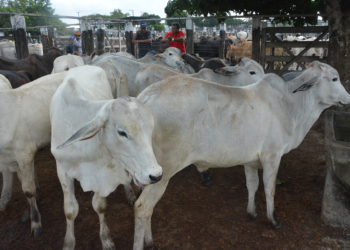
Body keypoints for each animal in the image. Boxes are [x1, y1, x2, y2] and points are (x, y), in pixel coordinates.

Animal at [0, 72, 67, 236]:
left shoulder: (24, 154)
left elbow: (29, 190)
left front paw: (35, 223)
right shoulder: (14, 160)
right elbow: (24, 185)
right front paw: (27, 214)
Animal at [49, 65, 163, 249]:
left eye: (151, 129)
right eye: (122, 132)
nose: (155, 175)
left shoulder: (103, 173)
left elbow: (100, 206)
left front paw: (106, 239)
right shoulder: (62, 170)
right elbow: (70, 210)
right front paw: (68, 243)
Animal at [133, 61, 350, 250]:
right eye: (334, 78)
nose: (348, 98)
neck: (289, 104)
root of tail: (145, 98)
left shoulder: (251, 160)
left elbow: (252, 185)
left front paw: (252, 213)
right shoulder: (273, 156)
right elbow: (270, 188)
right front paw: (273, 220)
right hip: (163, 172)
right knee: (142, 207)